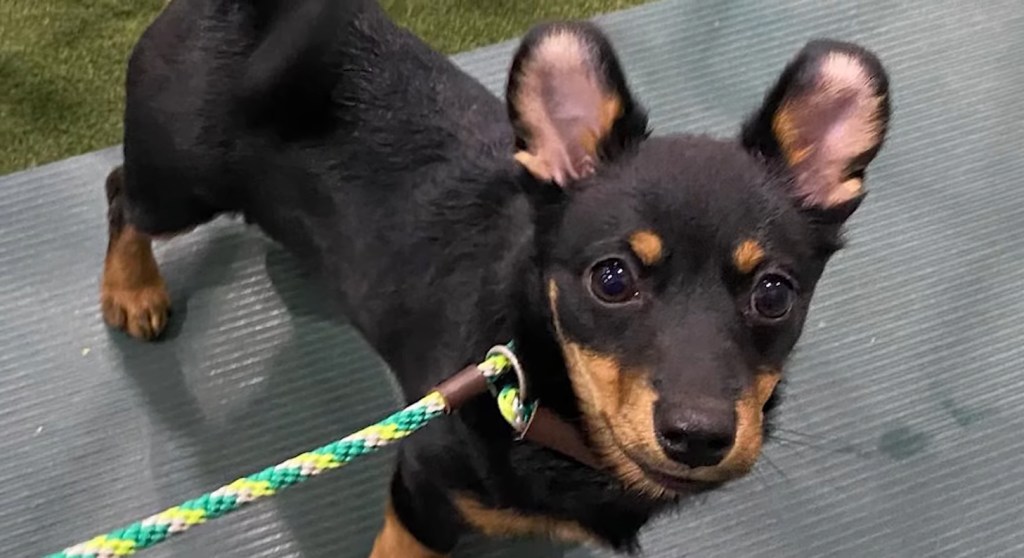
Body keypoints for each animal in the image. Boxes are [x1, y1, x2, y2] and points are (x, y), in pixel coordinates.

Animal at [99, 0, 892, 552]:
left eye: (774, 294)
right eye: (611, 279)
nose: (698, 437)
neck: (541, 395)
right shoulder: (421, 501)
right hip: (178, 184)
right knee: (119, 193)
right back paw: (132, 291)